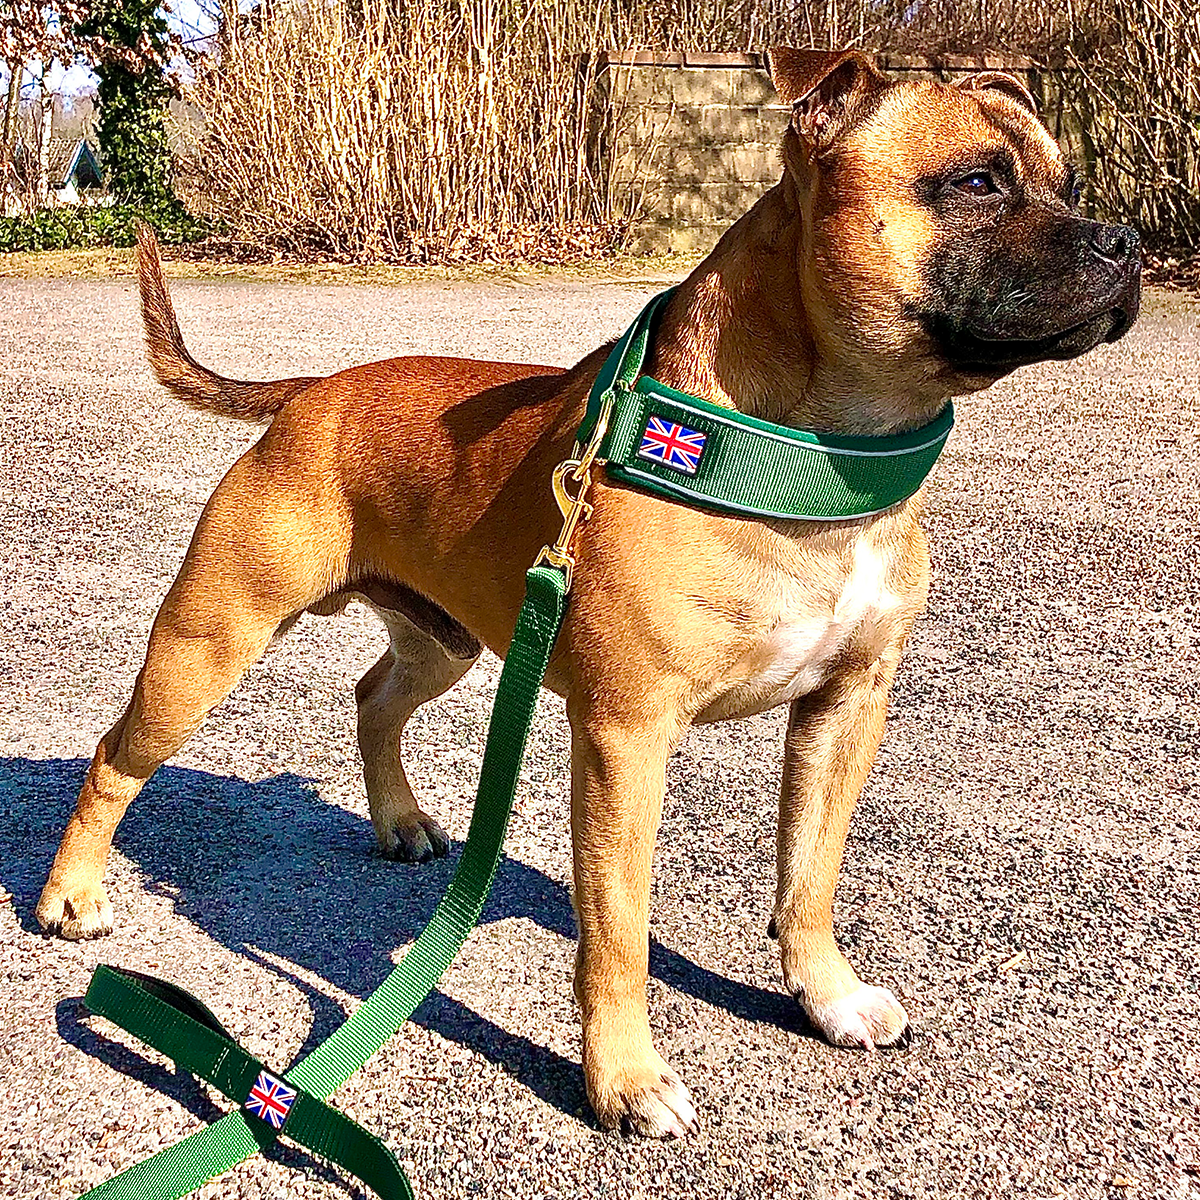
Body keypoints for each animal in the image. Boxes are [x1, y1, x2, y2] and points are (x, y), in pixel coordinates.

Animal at [37, 49, 1137, 1132]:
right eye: (978, 183)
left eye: (1072, 187)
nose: (1123, 241)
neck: (822, 458)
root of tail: (311, 393)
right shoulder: (627, 735)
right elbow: (620, 930)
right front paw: (625, 1079)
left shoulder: (845, 708)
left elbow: (810, 875)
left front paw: (827, 997)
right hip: (210, 639)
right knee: (114, 757)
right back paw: (70, 897)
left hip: (443, 640)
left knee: (374, 699)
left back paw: (398, 821)